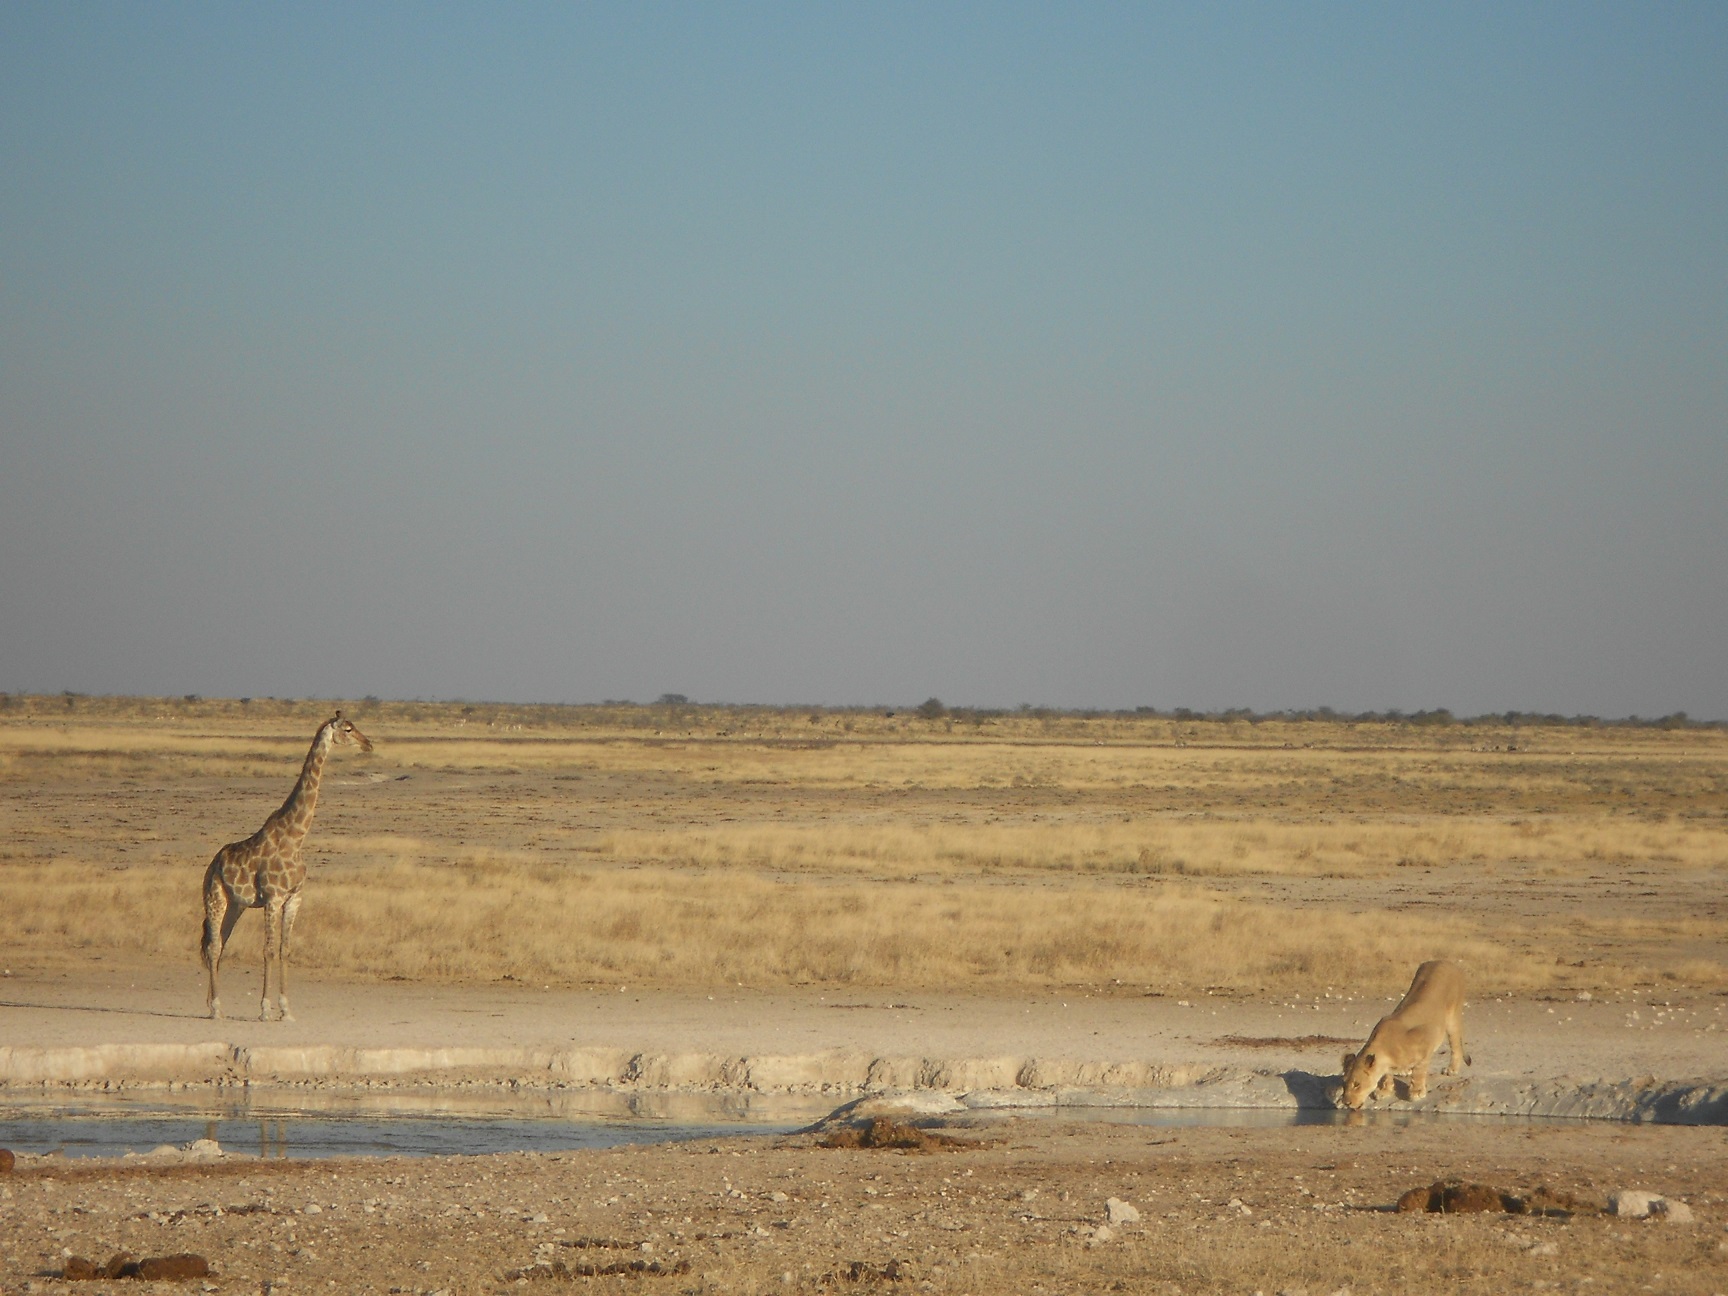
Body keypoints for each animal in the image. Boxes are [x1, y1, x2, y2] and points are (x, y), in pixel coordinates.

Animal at [199, 711, 374, 1020]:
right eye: (348, 729)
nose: (369, 744)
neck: (295, 837)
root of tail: (213, 864)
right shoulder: (273, 898)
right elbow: (268, 949)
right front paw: (265, 1009)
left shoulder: (294, 899)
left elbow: (285, 949)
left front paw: (286, 1009)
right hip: (215, 897)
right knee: (212, 945)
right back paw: (216, 1008)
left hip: (236, 905)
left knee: (220, 944)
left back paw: (213, 1005)